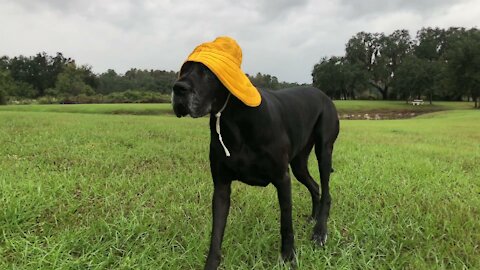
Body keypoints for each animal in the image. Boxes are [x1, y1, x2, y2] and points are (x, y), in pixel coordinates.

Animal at [172, 61, 338, 270]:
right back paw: (313, 218)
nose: (178, 88)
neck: (233, 118)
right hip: (299, 163)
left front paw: (288, 257)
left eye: (208, 72)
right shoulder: (221, 186)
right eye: (184, 70)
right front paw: (211, 264)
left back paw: (320, 231)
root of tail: (323, 94)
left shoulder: (282, 178)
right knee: (315, 186)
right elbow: (216, 232)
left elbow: (286, 223)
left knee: (326, 192)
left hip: (324, 149)